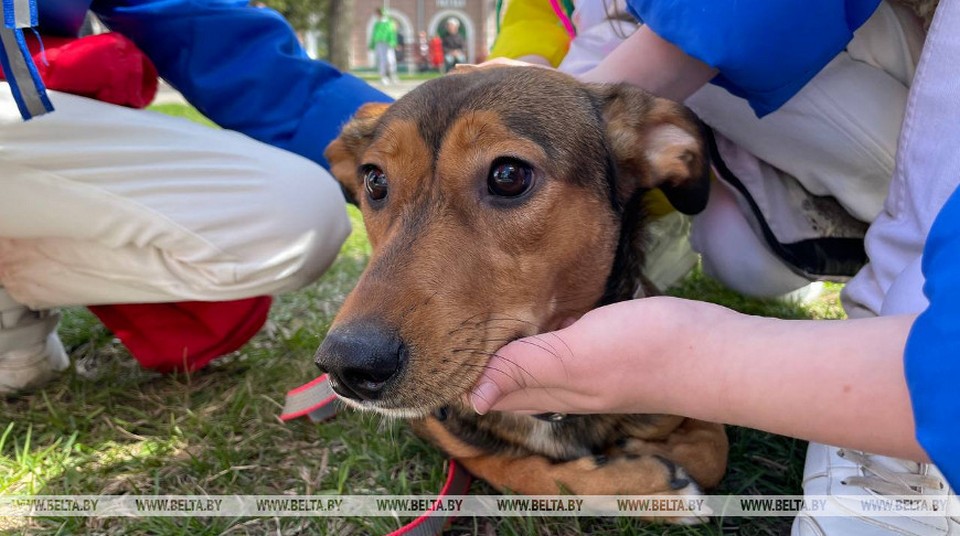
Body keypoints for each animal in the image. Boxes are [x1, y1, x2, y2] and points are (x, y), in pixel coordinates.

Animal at [316, 65, 728, 508]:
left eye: (508, 175)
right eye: (375, 181)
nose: (345, 365)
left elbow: (712, 452)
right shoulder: (445, 433)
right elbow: (524, 473)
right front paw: (640, 483)